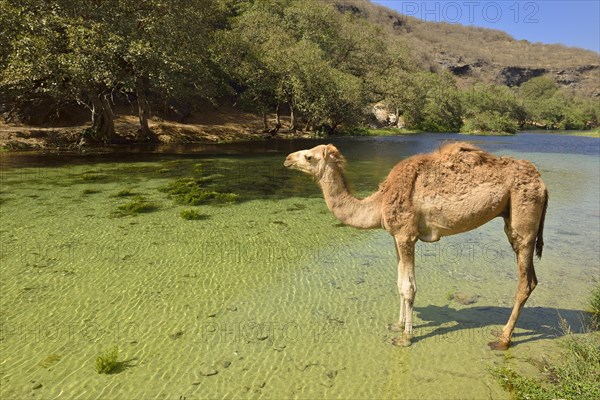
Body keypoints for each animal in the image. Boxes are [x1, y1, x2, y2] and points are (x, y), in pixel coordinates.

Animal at [286, 142, 548, 348]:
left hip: (523, 220)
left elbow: (409, 287)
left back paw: (503, 339)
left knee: (525, 281)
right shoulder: (396, 237)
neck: (379, 202)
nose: (287, 159)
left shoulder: (406, 235)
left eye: (309, 156)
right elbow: (399, 283)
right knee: (532, 279)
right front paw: (398, 324)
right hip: (512, 217)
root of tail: (542, 184)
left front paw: (406, 337)